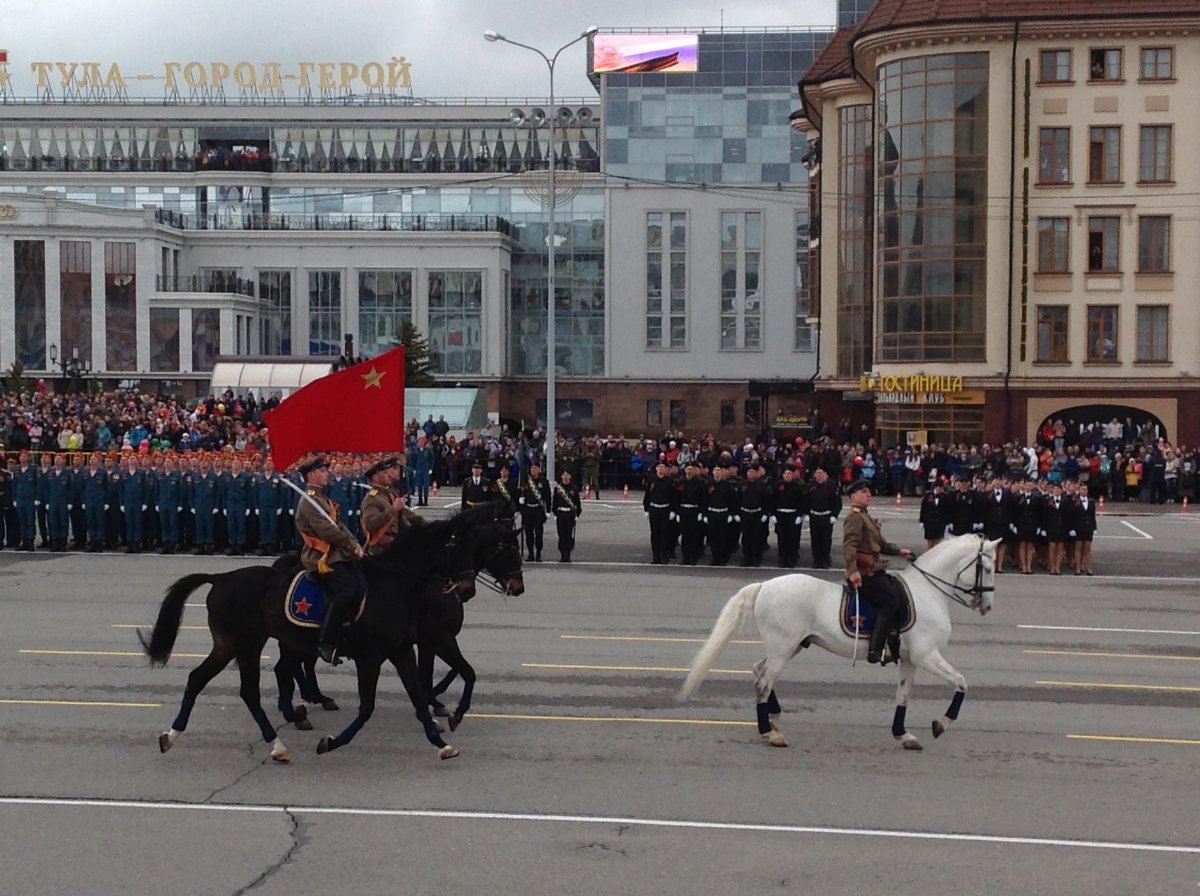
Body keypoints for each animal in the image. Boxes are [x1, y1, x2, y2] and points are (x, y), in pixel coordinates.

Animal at [139, 510, 520, 762]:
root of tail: (220, 578)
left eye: (477, 546)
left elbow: (420, 690)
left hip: (233, 644)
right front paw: (333, 741)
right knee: (255, 687)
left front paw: (439, 737)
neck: (396, 583)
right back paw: (283, 734)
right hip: (247, 644)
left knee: (204, 679)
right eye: (503, 548)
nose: (466, 588)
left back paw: (175, 735)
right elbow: (369, 706)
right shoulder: (387, 652)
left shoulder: (403, 649)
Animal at [681, 539, 998, 748]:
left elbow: (903, 696)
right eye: (986, 567)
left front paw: (903, 734)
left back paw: (774, 719)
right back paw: (770, 733)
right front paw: (941, 723)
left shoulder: (910, 659)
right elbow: (961, 683)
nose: (987, 606)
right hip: (783, 648)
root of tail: (765, 586)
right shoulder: (927, 655)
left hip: (790, 646)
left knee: (759, 671)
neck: (927, 593)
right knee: (763, 683)